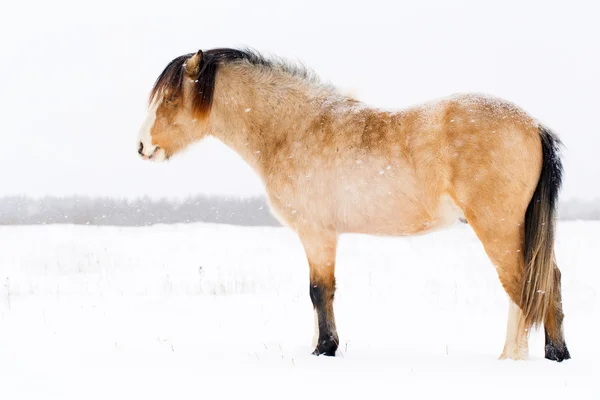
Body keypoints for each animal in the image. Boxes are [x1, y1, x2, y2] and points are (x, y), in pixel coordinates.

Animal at [137, 47, 572, 362]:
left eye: (171, 98)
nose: (142, 147)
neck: (294, 130)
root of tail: (533, 125)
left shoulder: (316, 234)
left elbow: (319, 291)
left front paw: (324, 349)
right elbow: (319, 293)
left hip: (499, 229)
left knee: (528, 286)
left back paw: (532, 357)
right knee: (538, 285)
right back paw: (533, 356)